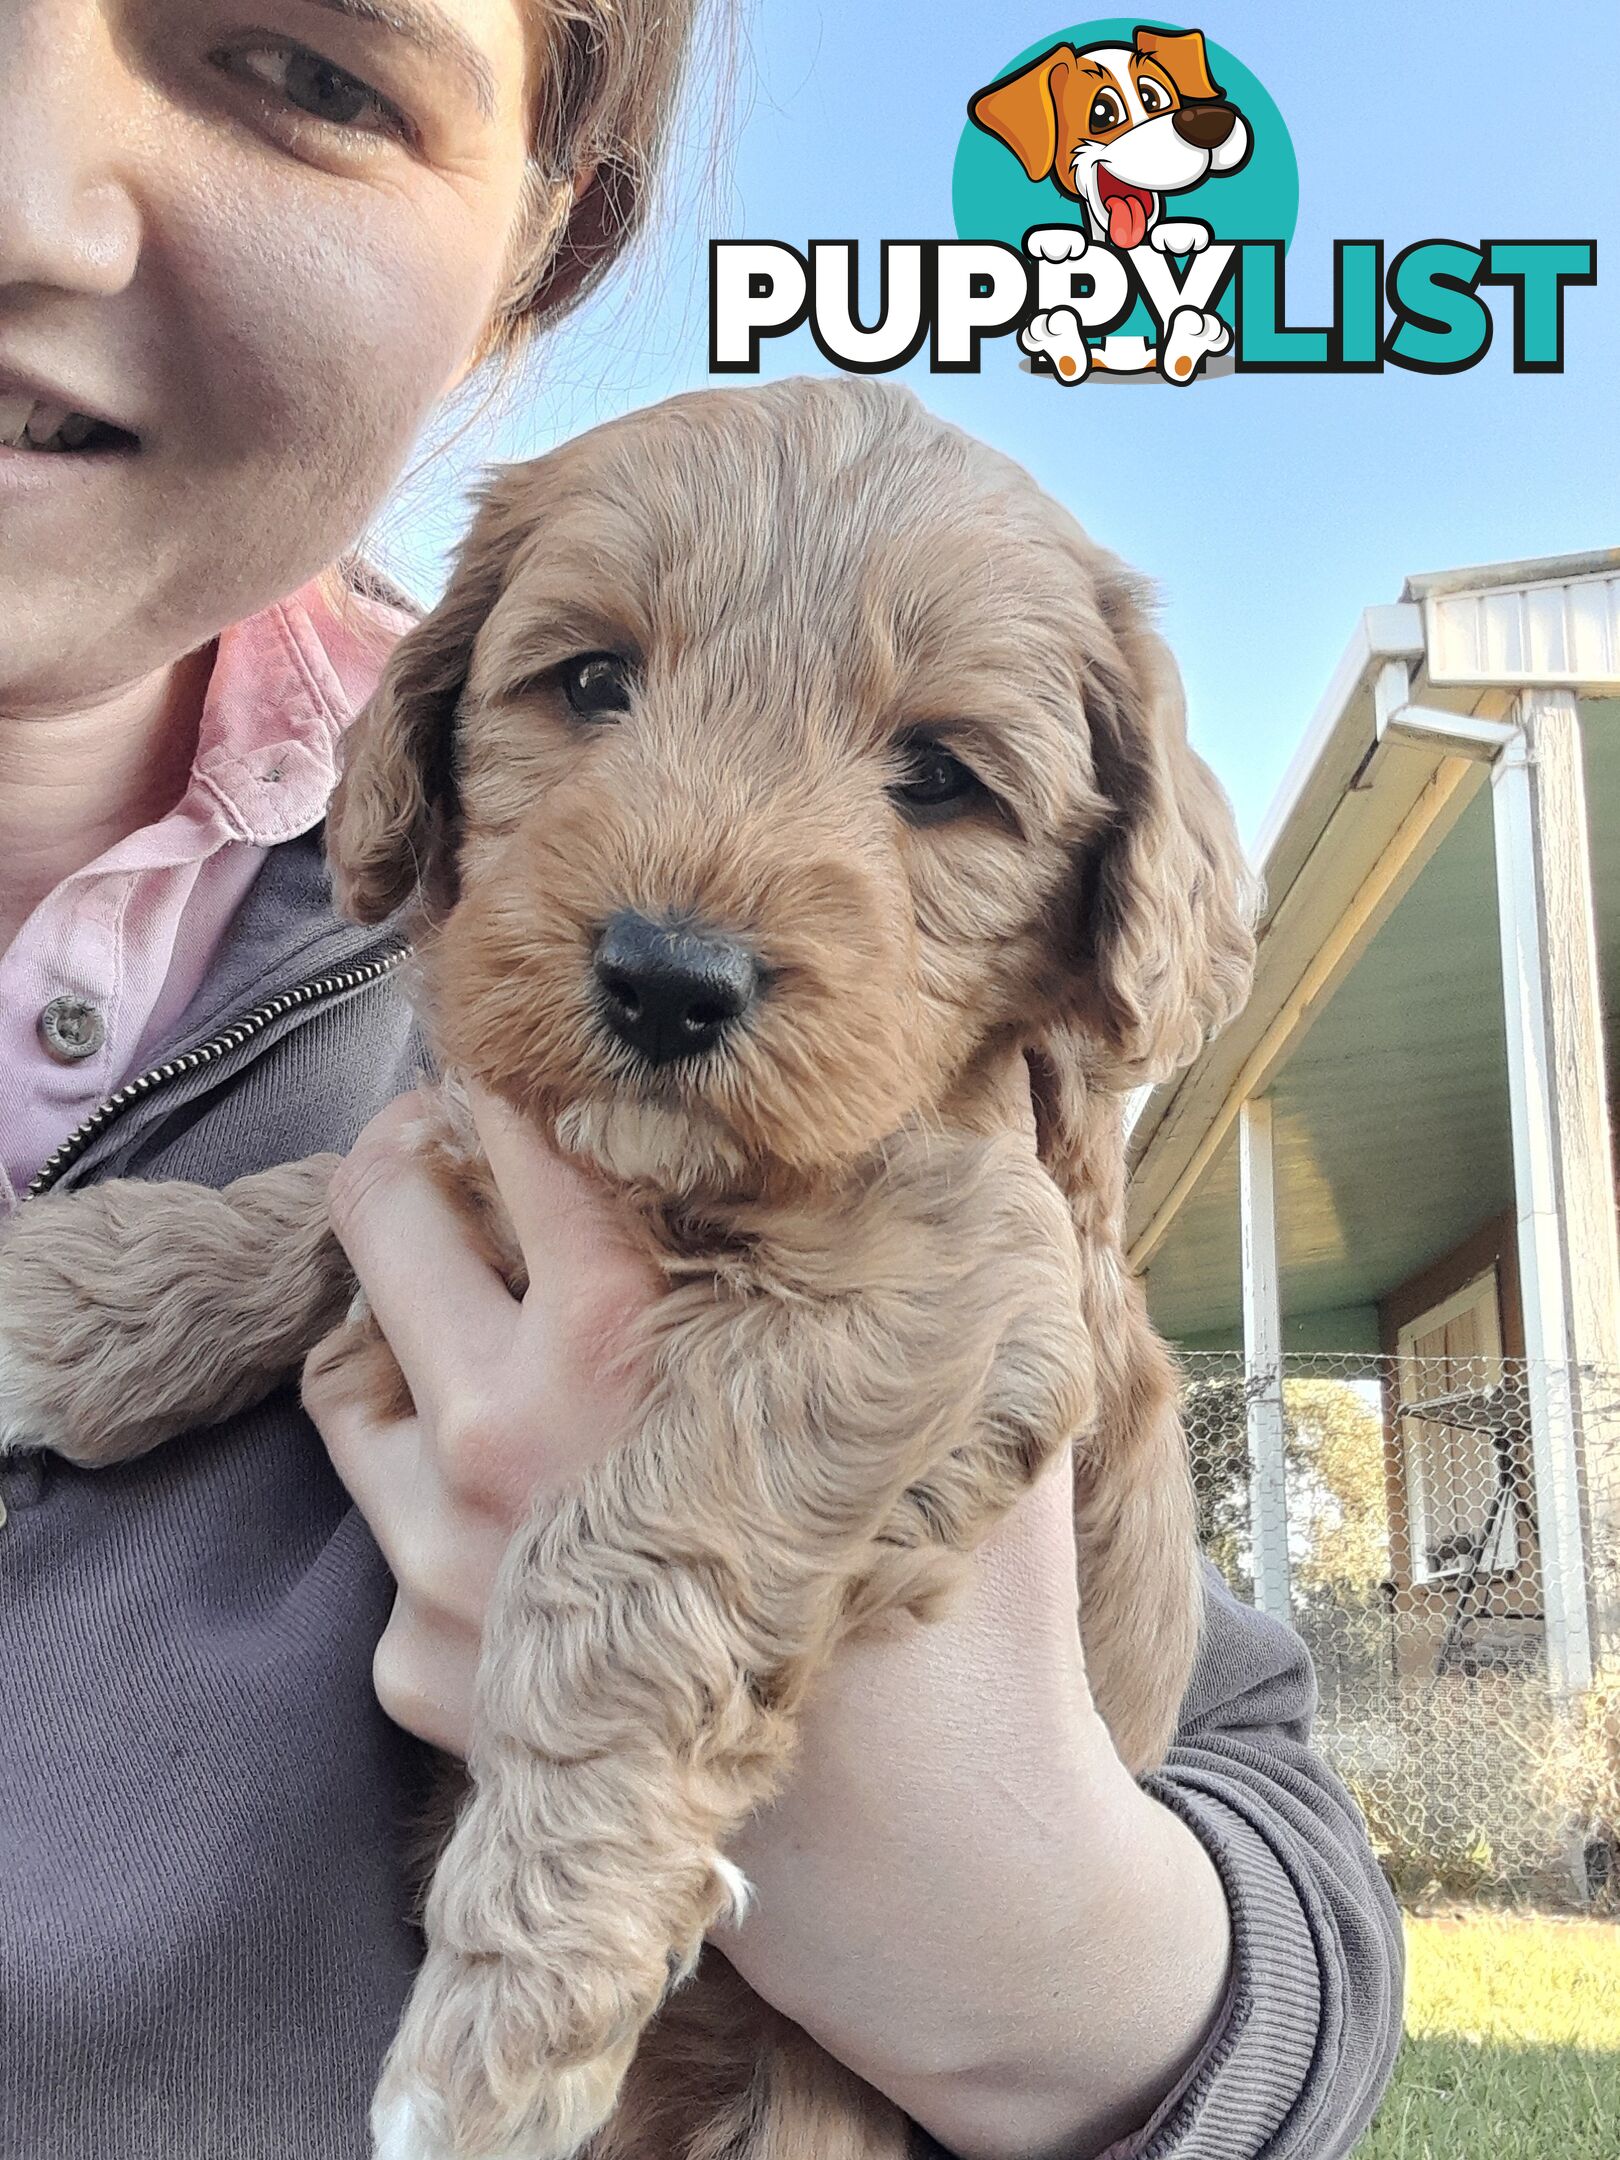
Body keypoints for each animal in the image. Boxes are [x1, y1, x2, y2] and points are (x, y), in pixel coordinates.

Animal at [0, 375, 1252, 2160]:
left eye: (940, 778)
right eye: (593, 681)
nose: (670, 978)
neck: (663, 1183)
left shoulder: (948, 1283)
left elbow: (628, 1558)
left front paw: (511, 2001)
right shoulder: (495, 1142)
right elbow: (340, 1180)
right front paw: (61, 1306)